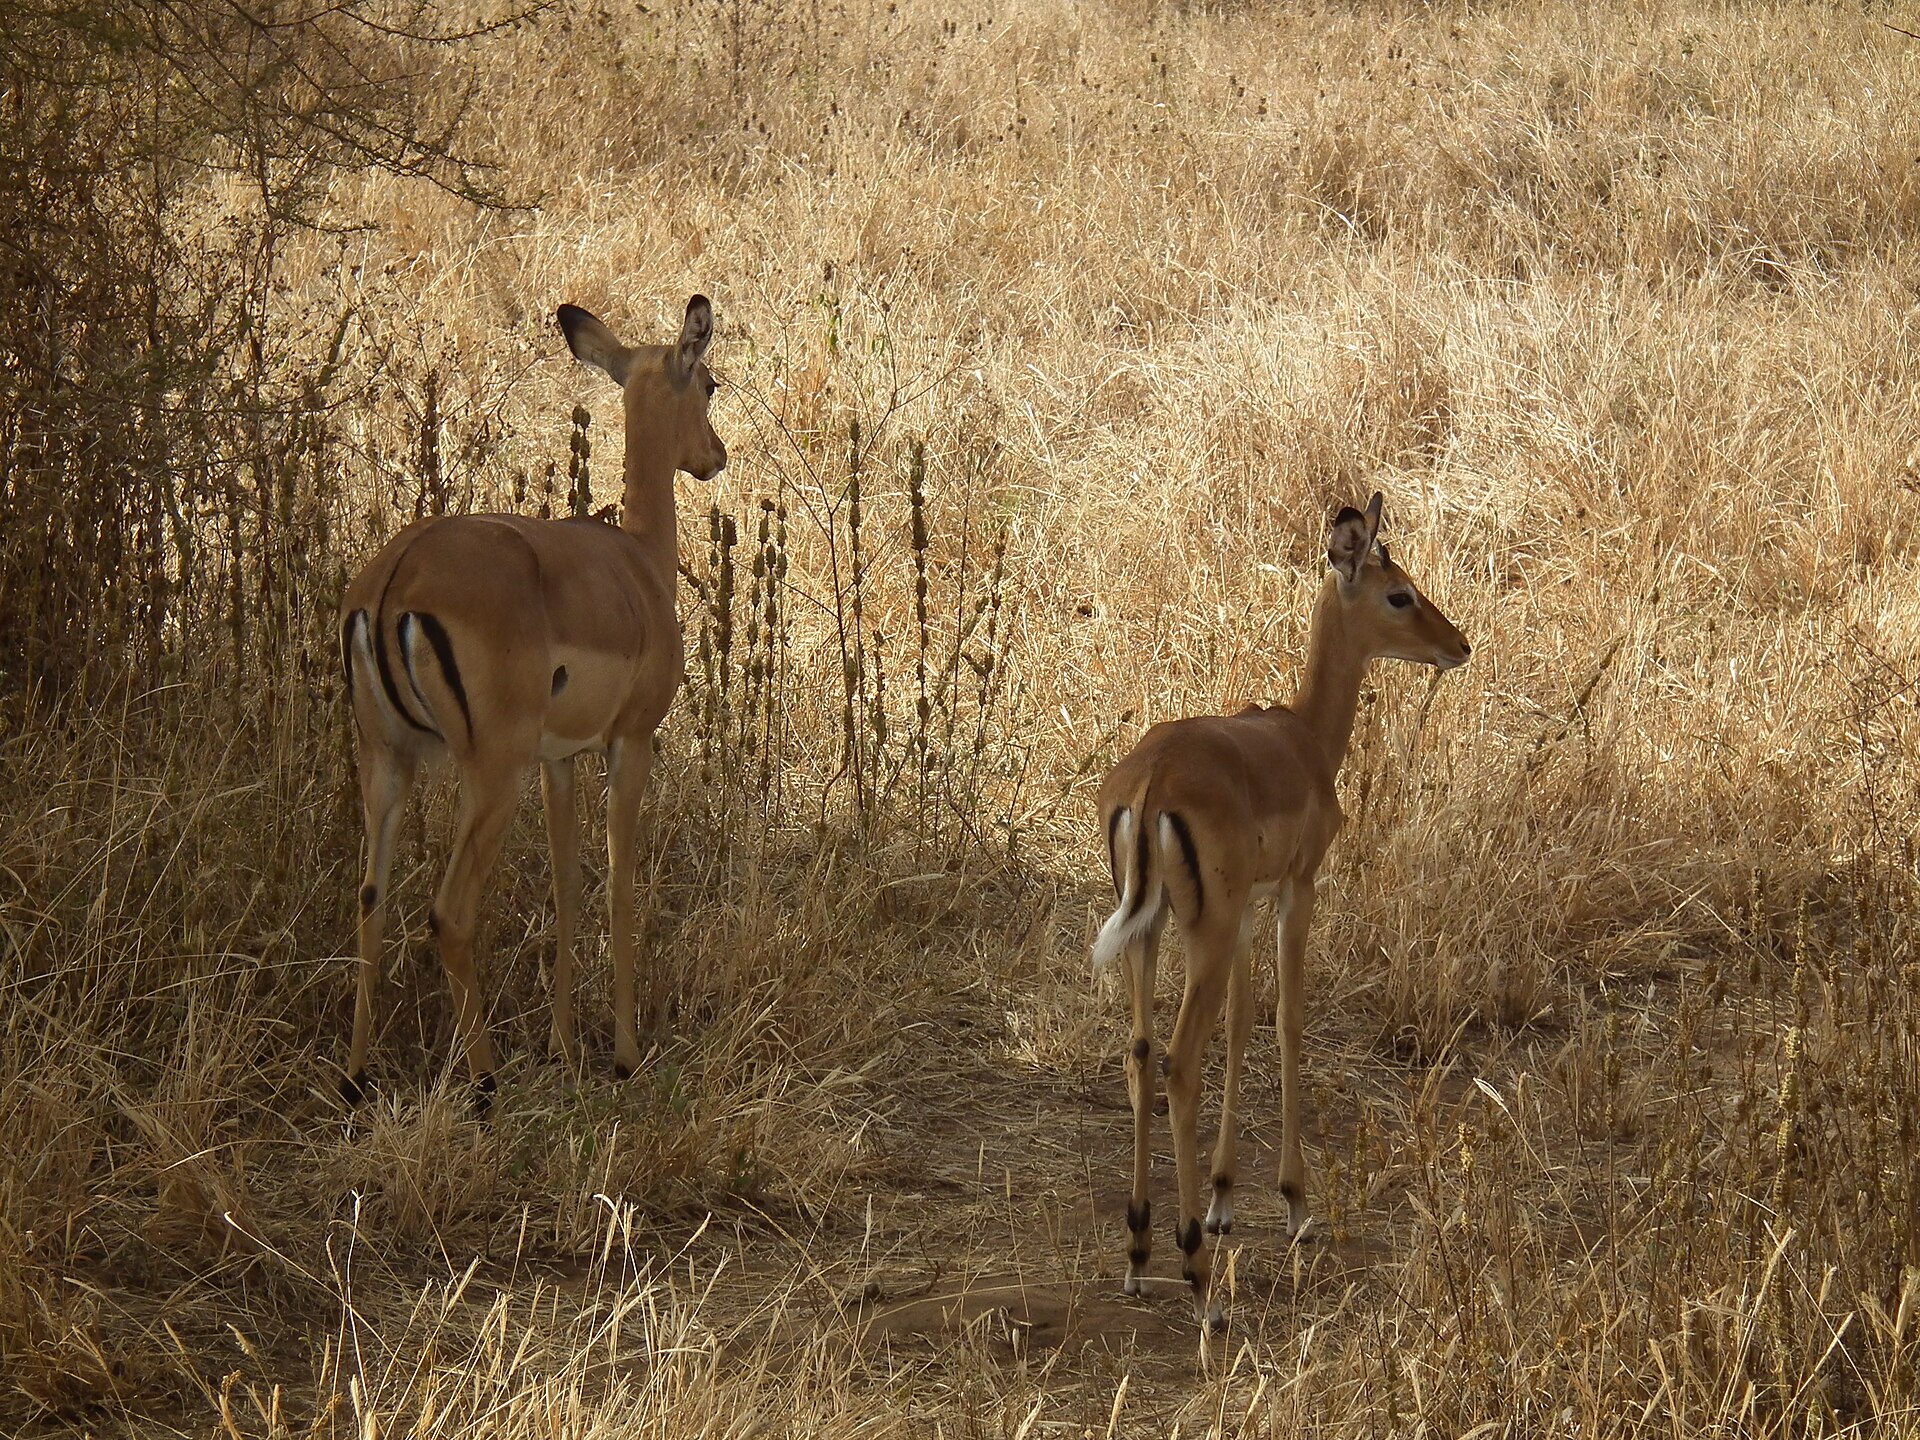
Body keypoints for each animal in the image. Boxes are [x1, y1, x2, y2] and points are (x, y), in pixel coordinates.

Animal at [338, 295, 726, 1109]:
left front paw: (563, 1048)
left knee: (369, 898)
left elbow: (566, 887)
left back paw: (356, 1079)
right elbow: (616, 886)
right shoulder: (628, 742)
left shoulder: (559, 760)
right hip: (491, 772)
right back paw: (485, 1084)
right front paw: (624, 1056)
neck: (639, 566)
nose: (715, 456)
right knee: (449, 914)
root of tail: (393, 578)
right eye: (709, 383)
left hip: (387, 760)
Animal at [1092, 493, 1470, 1328]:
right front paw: (1297, 1206)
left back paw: (1137, 1253)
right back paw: (1199, 1280)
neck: (1302, 739)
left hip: (1152, 929)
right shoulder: (1298, 889)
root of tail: (1152, 780)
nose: (1458, 645)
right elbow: (1289, 1018)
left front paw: (1228, 1201)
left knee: (1140, 1053)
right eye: (1400, 594)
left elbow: (1242, 1023)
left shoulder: (1245, 911)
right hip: (1199, 931)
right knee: (1179, 1061)